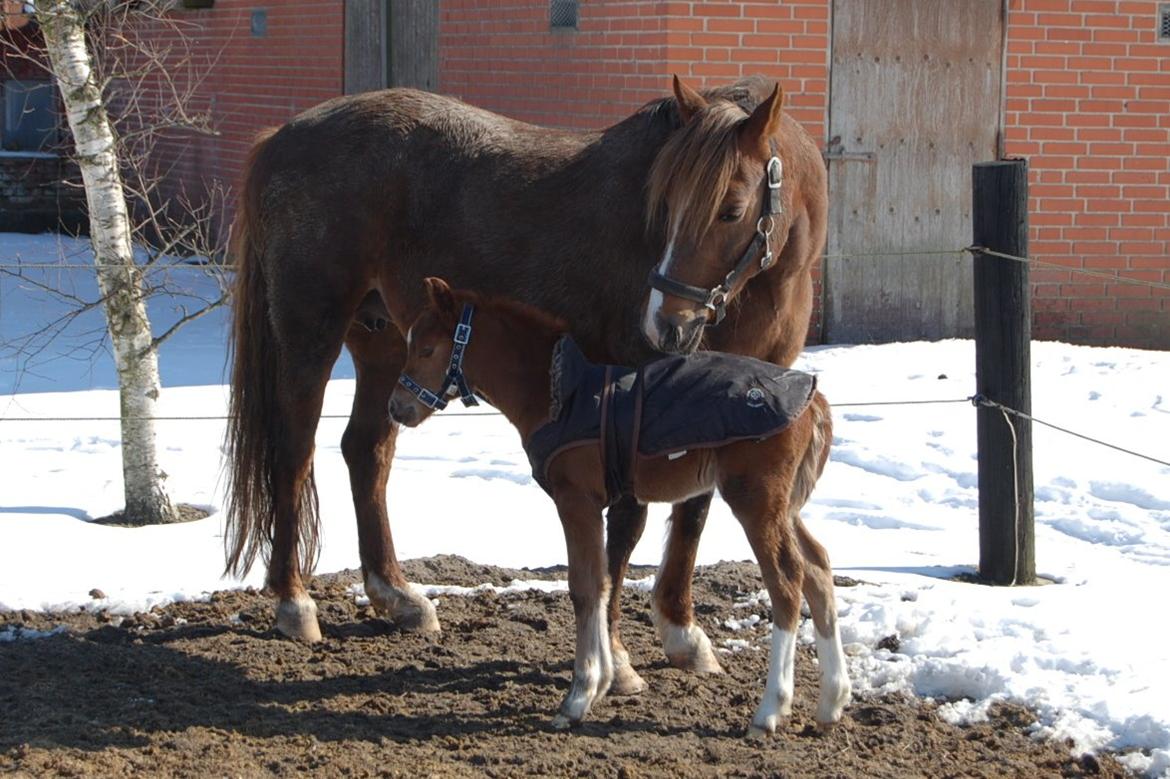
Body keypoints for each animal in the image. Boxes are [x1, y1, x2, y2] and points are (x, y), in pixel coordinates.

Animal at [225, 75, 827, 695]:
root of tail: (280, 139)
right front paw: (619, 656)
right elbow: (627, 526)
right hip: (311, 334)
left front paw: (681, 633)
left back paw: (397, 595)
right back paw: (294, 604)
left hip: (387, 345)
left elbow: (694, 510)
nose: (666, 323)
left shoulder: (730, 403)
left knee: (366, 452)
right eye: (664, 205)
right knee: (294, 453)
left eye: (731, 209)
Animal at [387, 278, 849, 732]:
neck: (557, 391)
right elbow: (603, 580)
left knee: (786, 581)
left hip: (756, 500)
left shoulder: (577, 499)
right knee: (817, 567)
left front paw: (579, 695)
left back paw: (771, 709)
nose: (398, 407)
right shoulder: (593, 504)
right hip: (785, 506)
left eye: (426, 349)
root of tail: (815, 402)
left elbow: (585, 585)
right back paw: (832, 702)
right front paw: (606, 681)